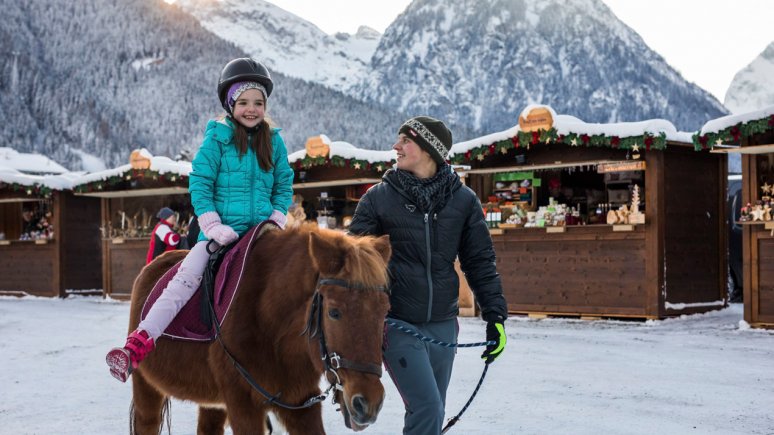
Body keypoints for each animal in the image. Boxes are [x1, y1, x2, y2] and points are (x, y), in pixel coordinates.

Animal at [130, 225, 394, 435]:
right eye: (334, 312)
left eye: (384, 312)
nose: (368, 403)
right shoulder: (243, 405)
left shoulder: (300, 402)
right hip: (146, 388)